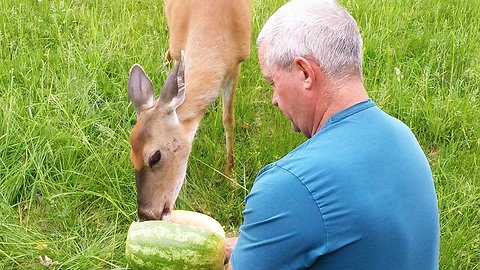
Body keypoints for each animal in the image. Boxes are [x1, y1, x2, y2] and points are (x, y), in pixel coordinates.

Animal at [125, 0, 253, 221]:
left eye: (155, 157)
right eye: (131, 155)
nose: (146, 214)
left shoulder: (236, 62)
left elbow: (228, 120)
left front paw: (230, 178)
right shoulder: (180, 48)